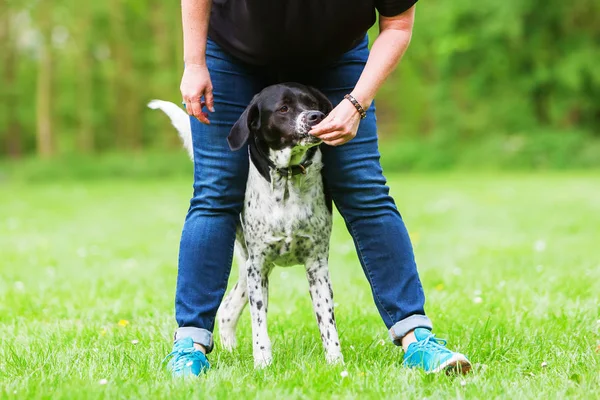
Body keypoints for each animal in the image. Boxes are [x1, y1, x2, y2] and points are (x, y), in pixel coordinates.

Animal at [148, 83, 344, 368]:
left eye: (313, 103)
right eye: (283, 108)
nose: (315, 116)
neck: (287, 183)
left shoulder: (317, 266)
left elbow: (327, 322)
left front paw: (336, 362)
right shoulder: (258, 266)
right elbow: (259, 324)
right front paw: (263, 362)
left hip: (249, 271)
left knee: (227, 310)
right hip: (250, 268)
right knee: (228, 310)